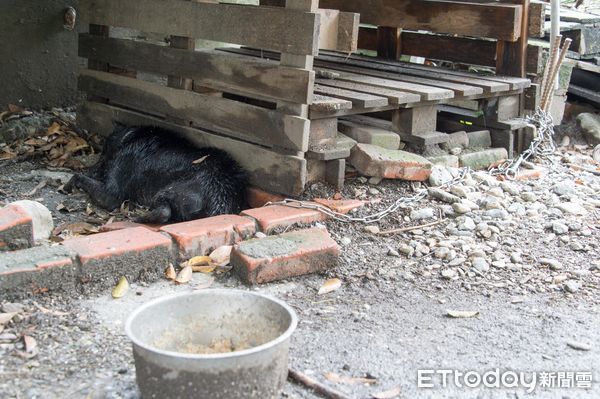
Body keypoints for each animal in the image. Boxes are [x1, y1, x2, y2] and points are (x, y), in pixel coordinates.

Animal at [67, 126, 248, 223]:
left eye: (103, 153)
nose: (91, 169)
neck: (132, 137)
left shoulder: (112, 191)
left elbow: (85, 182)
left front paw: (70, 182)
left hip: (171, 191)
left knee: (164, 212)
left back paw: (139, 218)